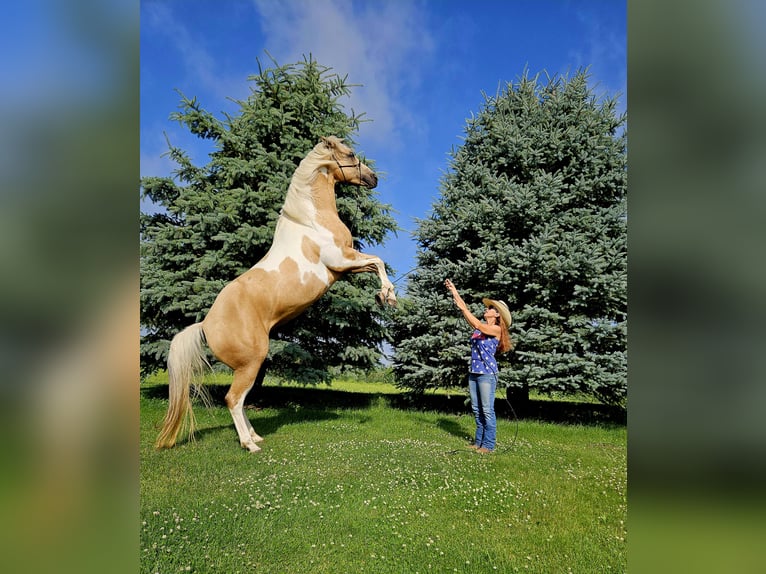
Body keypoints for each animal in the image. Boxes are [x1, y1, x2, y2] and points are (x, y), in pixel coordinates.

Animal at [155, 136, 397, 452]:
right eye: (350, 154)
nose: (373, 178)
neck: (312, 221)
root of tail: (205, 325)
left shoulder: (346, 266)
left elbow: (374, 264)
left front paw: (385, 296)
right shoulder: (341, 261)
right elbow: (378, 261)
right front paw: (388, 295)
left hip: (249, 366)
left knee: (241, 400)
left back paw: (255, 436)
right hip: (252, 362)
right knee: (233, 399)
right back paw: (250, 445)